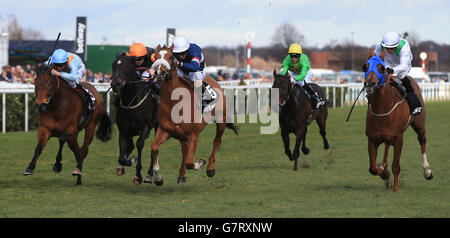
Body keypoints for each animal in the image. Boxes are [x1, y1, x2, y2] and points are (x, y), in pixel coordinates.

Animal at [110, 53, 158, 184]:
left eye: (127, 67)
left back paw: (149, 175)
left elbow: (139, 144)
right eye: (113, 65)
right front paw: (128, 161)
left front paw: (138, 175)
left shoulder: (146, 127)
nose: (115, 85)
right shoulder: (123, 130)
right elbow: (122, 155)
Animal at [149, 44, 239, 185]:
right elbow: (154, 147)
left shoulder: (193, 134)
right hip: (181, 135)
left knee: (217, 141)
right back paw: (181, 175)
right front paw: (158, 178)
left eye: (170, 57)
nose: (159, 72)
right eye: (156, 56)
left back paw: (210, 168)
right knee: (184, 150)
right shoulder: (165, 130)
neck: (174, 101)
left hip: (221, 120)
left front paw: (200, 162)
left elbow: (190, 162)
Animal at [362, 48, 432, 192]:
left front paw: (395, 187)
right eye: (365, 66)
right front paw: (383, 171)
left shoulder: (399, 138)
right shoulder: (372, 139)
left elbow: (396, 166)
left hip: (419, 124)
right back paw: (383, 165)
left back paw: (427, 171)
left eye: (381, 68)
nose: (370, 83)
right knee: (387, 145)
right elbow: (372, 168)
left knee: (422, 140)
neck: (382, 109)